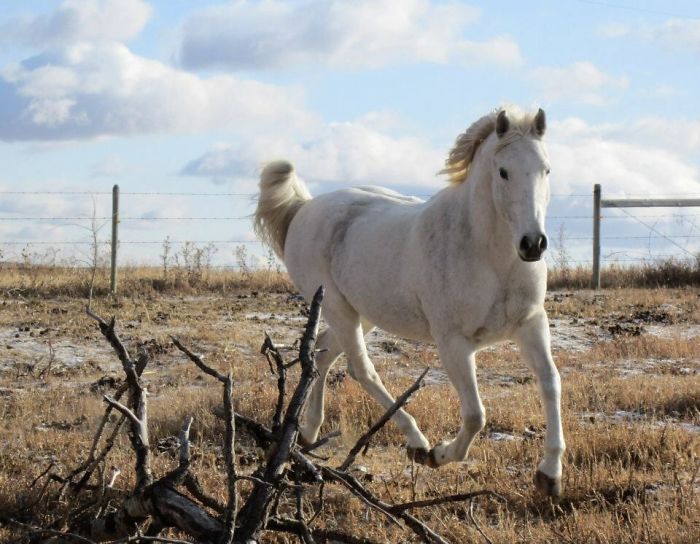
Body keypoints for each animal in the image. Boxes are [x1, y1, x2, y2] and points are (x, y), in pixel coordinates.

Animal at [254, 107, 565, 496]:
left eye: (547, 169)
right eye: (503, 171)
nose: (532, 244)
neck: (490, 256)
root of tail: (305, 208)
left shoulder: (531, 325)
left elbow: (551, 382)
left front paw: (549, 475)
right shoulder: (453, 342)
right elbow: (475, 415)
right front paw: (440, 455)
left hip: (362, 312)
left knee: (324, 355)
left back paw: (309, 432)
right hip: (339, 309)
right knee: (361, 369)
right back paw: (417, 443)